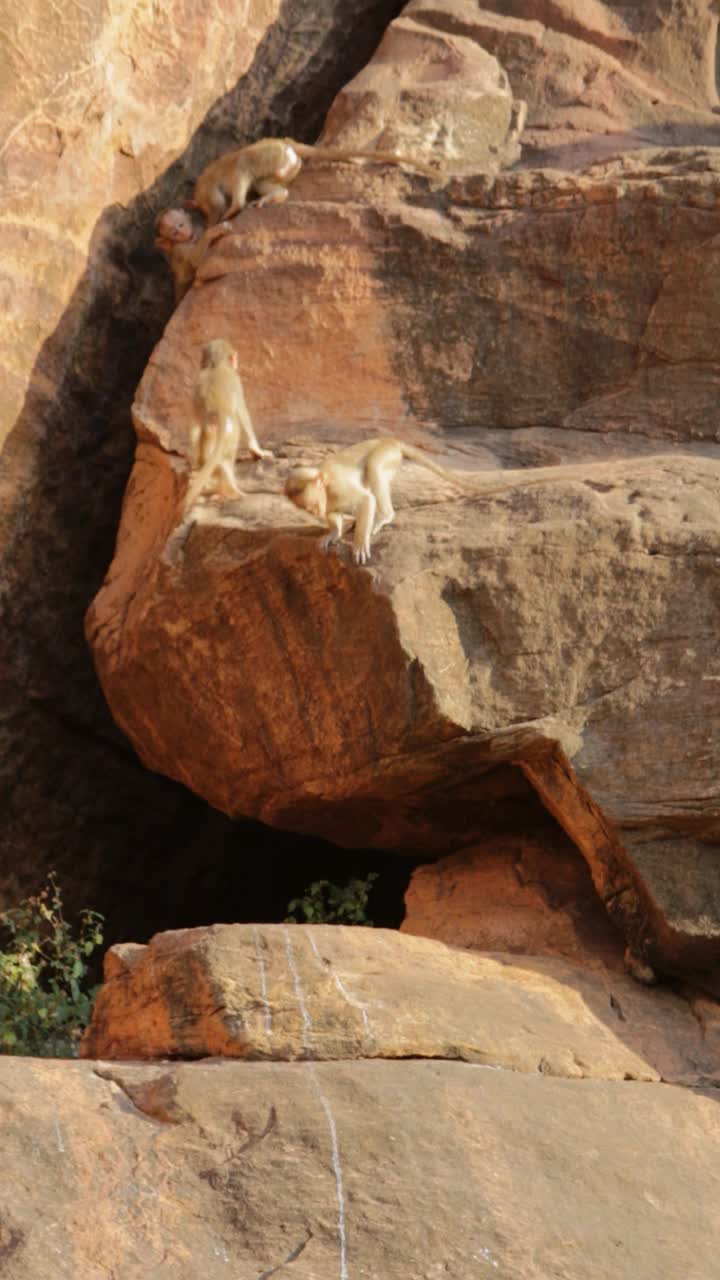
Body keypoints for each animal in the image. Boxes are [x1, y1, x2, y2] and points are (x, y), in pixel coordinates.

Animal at [184, 340, 271, 509]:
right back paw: (231, 491)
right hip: (230, 433)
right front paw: (258, 451)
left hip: (210, 433)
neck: (215, 366)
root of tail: (218, 414)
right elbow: (243, 414)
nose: (236, 362)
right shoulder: (237, 381)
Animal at [189, 137, 438, 225]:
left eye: (203, 209)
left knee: (244, 167)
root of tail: (289, 144)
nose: (207, 220)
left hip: (268, 156)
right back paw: (274, 195)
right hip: (284, 165)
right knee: (268, 184)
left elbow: (227, 196)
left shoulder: (212, 186)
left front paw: (224, 214)